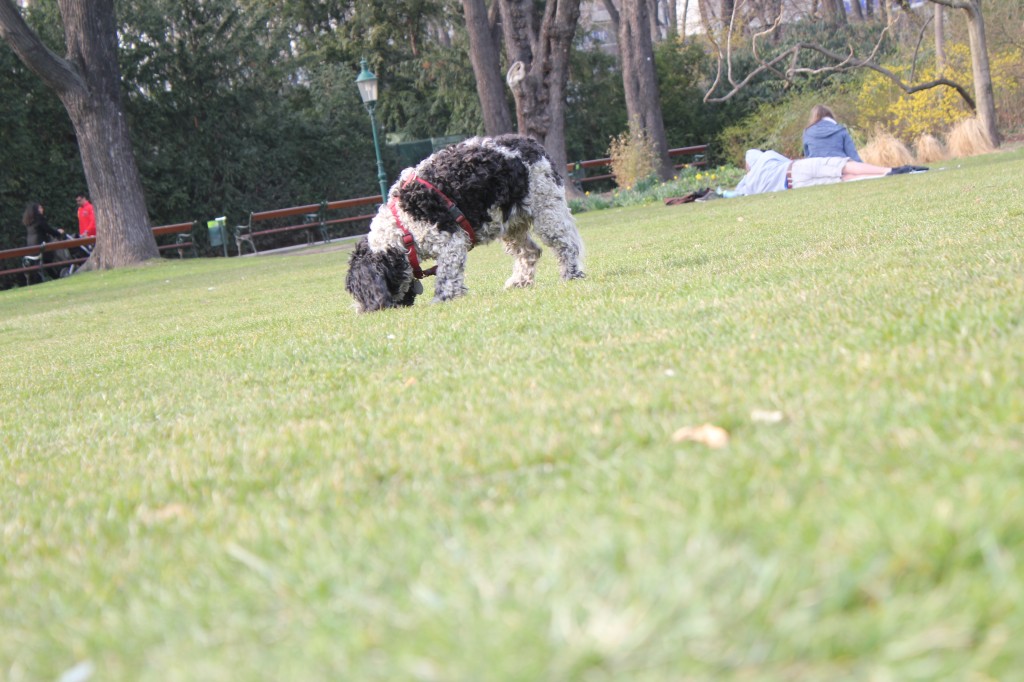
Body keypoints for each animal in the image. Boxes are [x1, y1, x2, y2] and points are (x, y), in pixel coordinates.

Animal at [344, 133, 585, 313]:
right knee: (531, 252)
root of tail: (532, 143)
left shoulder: (452, 242)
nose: (363, 311)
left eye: (358, 292)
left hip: (547, 210)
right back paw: (519, 281)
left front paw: (442, 299)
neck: (403, 227)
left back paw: (572, 274)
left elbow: (447, 277)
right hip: (512, 226)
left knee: (568, 245)